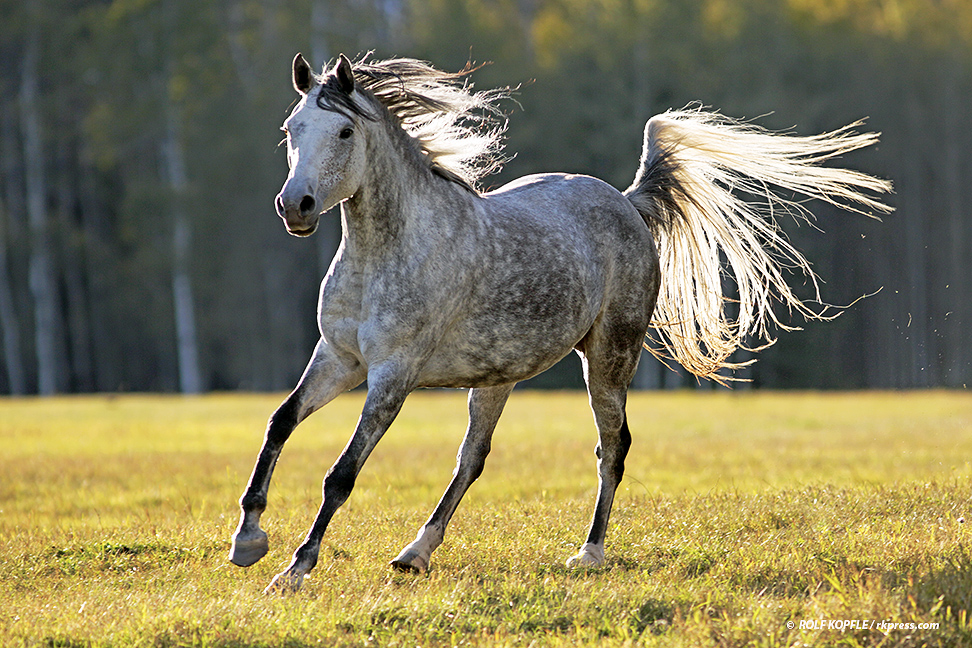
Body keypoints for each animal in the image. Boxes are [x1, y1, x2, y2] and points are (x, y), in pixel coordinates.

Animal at [229, 53, 891, 593]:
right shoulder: (338, 359)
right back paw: (415, 553)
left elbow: (340, 474)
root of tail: (628, 202)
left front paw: (295, 567)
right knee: (472, 460)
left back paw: (589, 552)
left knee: (612, 446)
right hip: (496, 379)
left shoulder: (392, 376)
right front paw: (248, 539)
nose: (295, 207)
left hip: (608, 358)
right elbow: (279, 423)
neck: (387, 252)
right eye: (290, 130)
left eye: (343, 130)